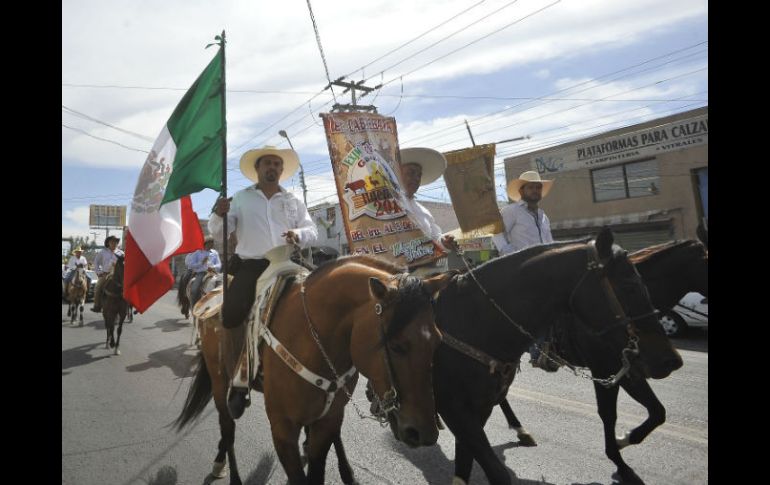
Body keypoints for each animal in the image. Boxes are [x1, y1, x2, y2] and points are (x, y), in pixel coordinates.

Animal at [174, 255, 450, 482]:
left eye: (437, 341)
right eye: (396, 346)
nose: (424, 433)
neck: (311, 336)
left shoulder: (327, 421)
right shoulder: (283, 428)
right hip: (220, 382)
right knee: (228, 427)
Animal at [496, 236, 704, 482]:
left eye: (641, 286)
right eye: (630, 287)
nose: (671, 361)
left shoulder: (629, 370)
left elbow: (657, 412)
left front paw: (624, 440)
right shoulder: (606, 370)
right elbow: (609, 414)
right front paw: (620, 463)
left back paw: (520, 429)